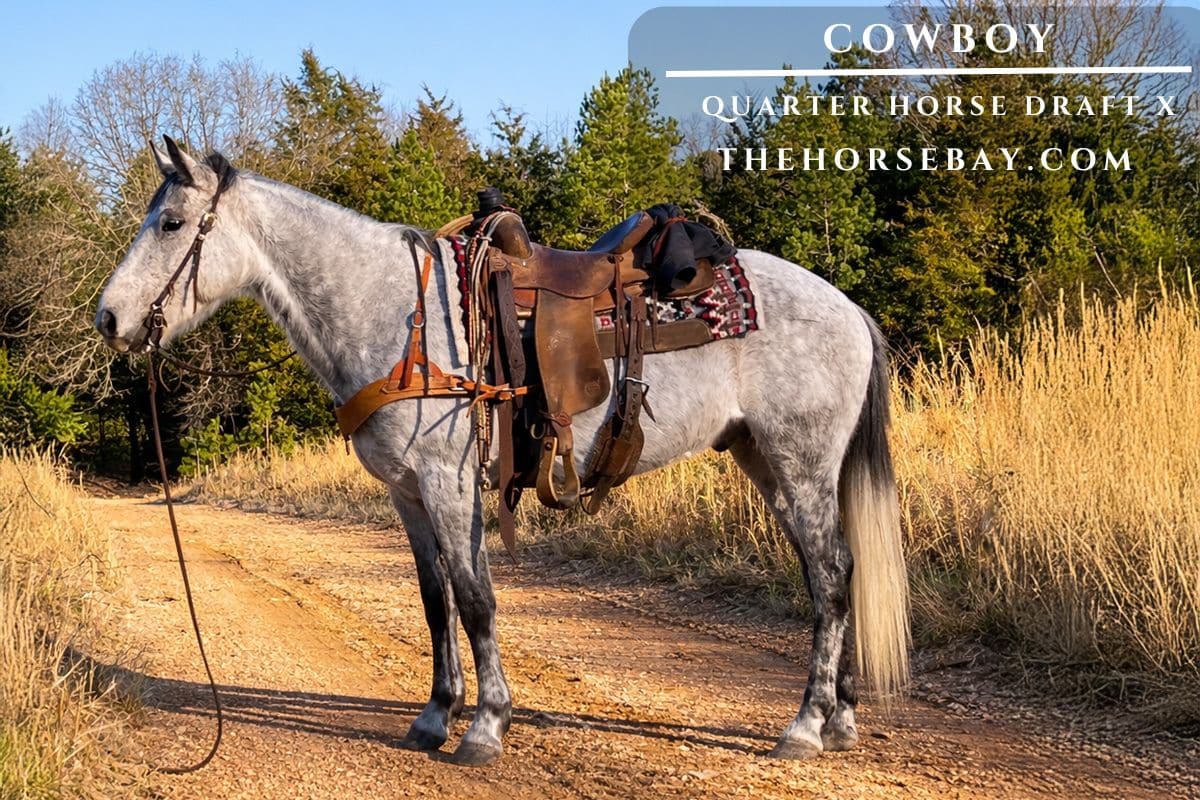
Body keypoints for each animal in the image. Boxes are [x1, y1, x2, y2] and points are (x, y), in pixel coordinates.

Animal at [94, 136, 909, 766]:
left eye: (171, 223)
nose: (108, 319)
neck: (400, 317)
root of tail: (846, 306)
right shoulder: (407, 492)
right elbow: (436, 599)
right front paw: (435, 715)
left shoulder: (448, 484)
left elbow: (477, 597)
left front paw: (485, 726)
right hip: (767, 462)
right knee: (834, 571)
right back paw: (839, 719)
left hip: (801, 463)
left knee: (830, 576)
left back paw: (805, 726)